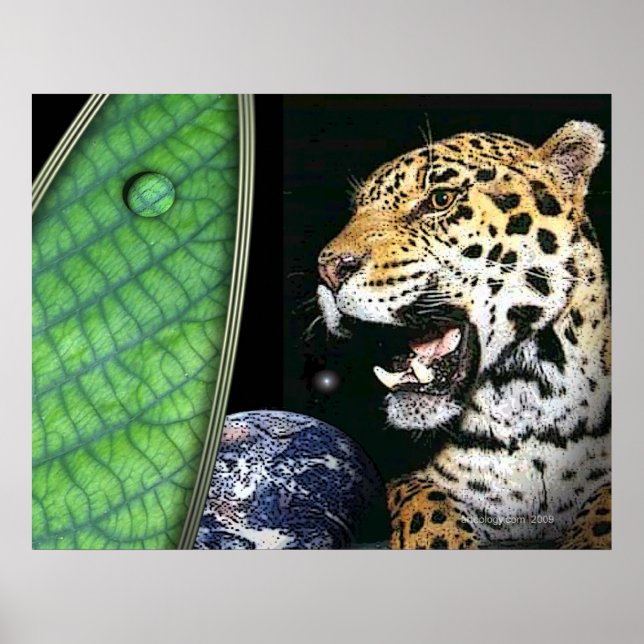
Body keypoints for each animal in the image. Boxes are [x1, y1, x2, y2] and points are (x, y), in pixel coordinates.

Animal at [316, 121, 611, 549]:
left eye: (441, 199)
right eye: (356, 213)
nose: (327, 269)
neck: (523, 396)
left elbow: (604, 512)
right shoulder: (400, 480)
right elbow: (427, 506)